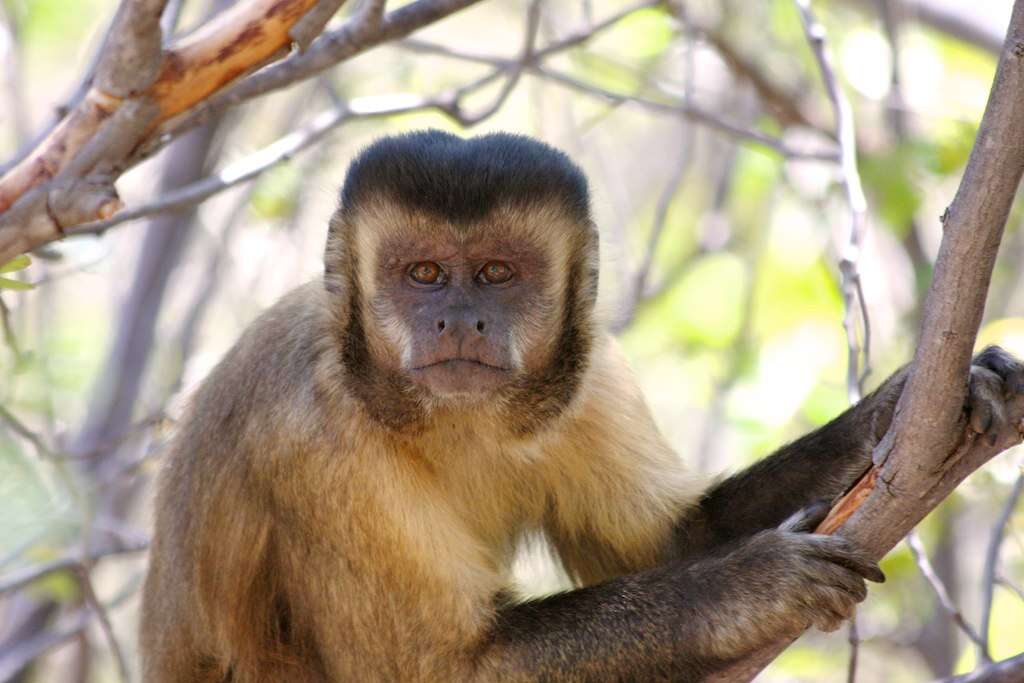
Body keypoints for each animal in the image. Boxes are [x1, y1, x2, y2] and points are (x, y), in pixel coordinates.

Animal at [140, 131, 1024, 679]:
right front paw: (749, 586)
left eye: (498, 273)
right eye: (423, 273)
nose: (457, 319)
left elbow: (671, 540)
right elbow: (443, 668)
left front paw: (901, 404)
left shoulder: (592, 376)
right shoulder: (311, 437)